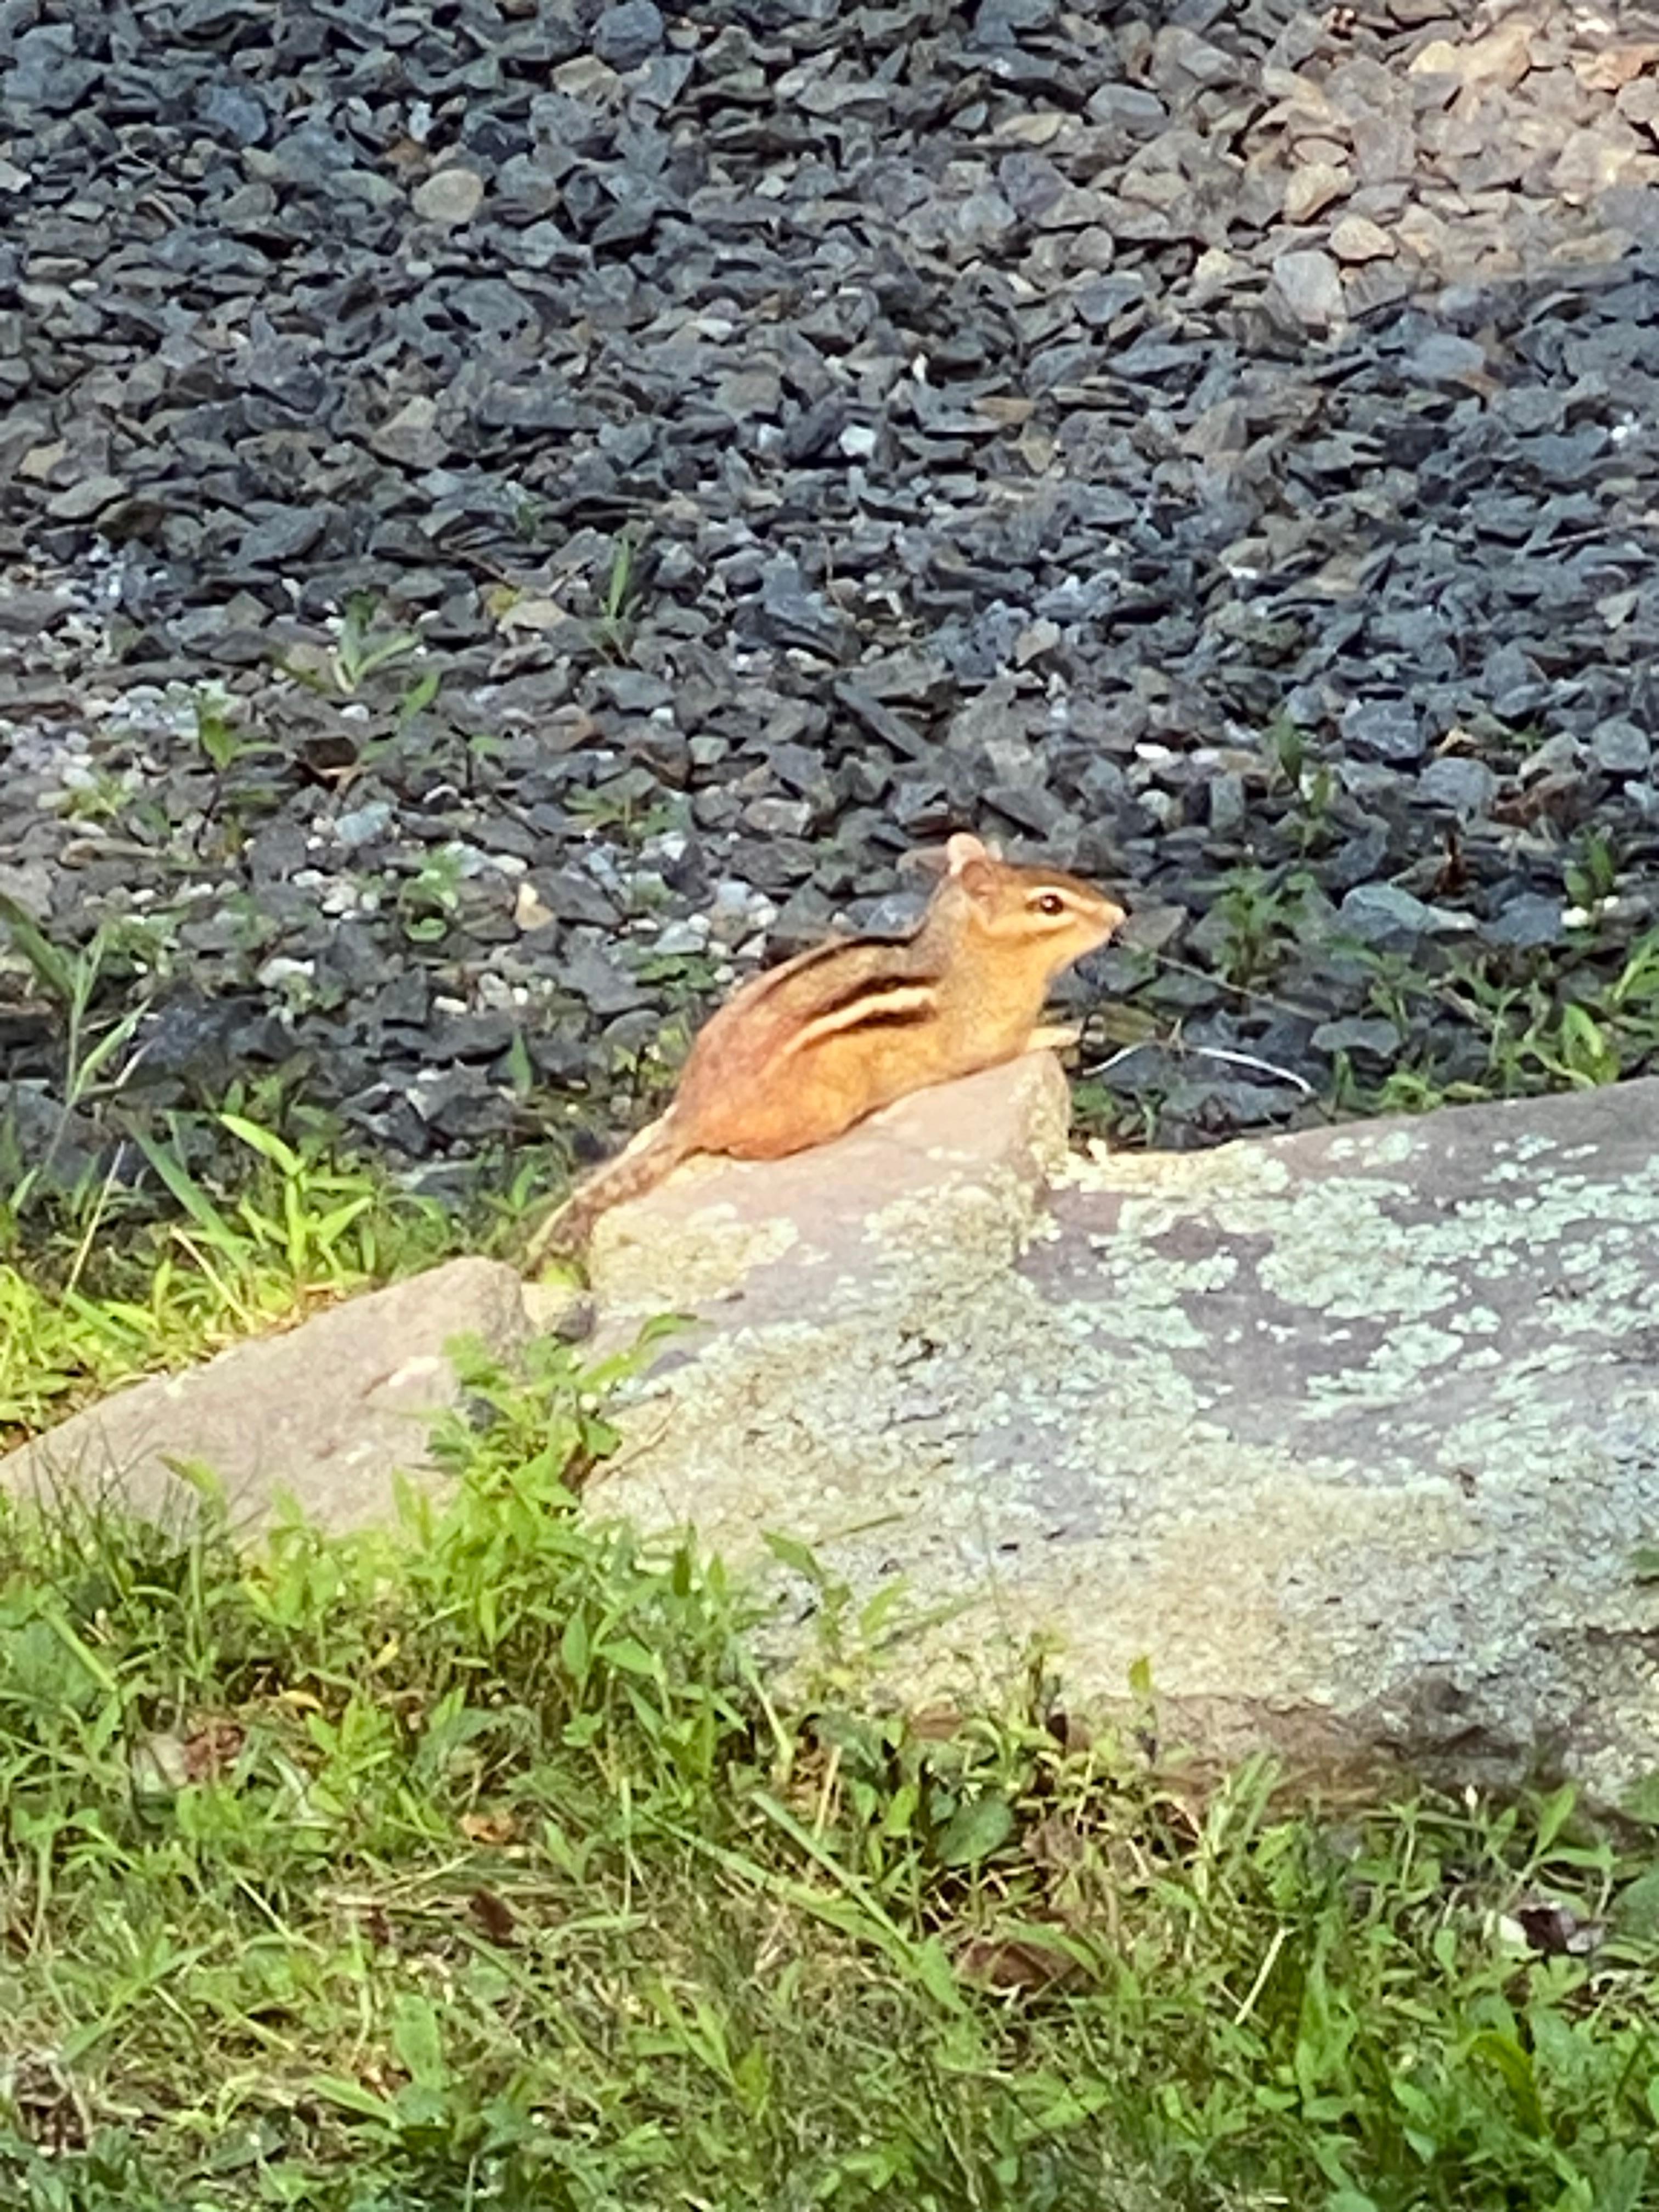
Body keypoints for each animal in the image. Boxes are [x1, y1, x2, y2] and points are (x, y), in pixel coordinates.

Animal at [523, 831, 1125, 1266]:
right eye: (1050, 905)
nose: (1121, 915)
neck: (963, 956)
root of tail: (694, 1110)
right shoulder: (985, 1036)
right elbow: (1014, 1044)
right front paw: (1062, 1030)